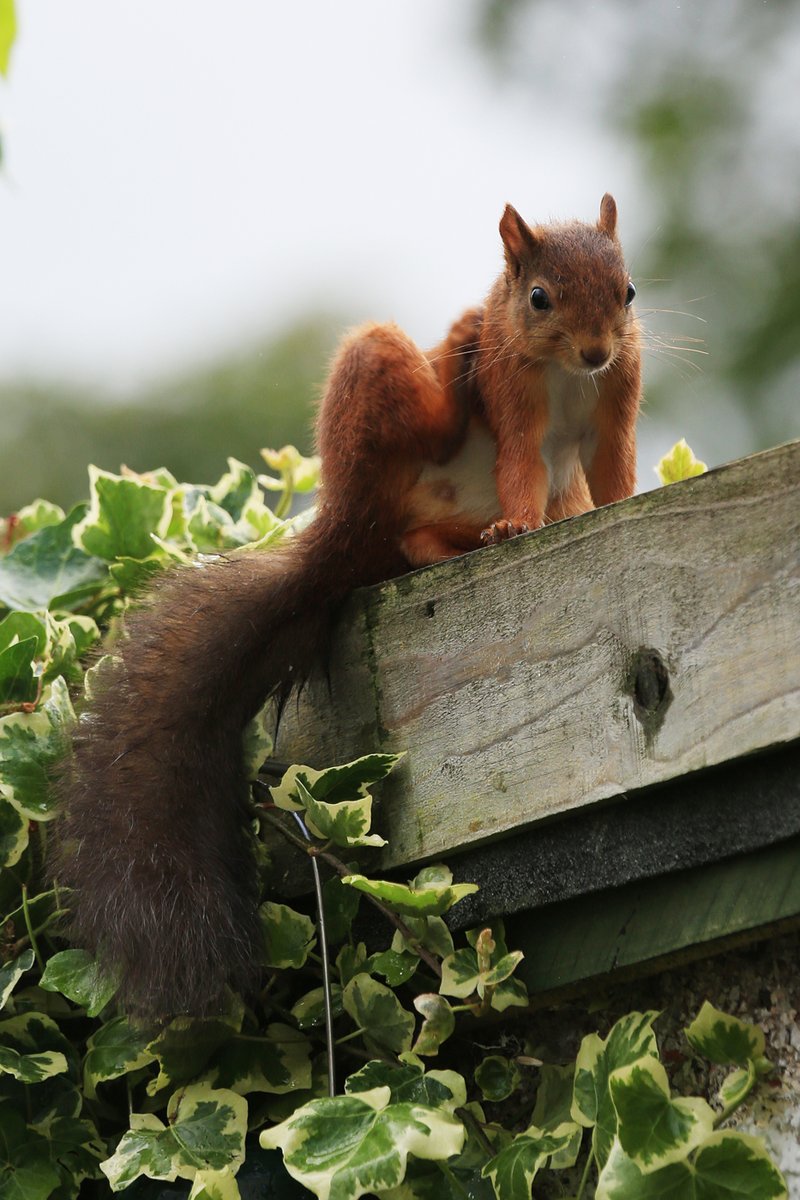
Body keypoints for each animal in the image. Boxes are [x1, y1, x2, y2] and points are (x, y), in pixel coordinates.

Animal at [55, 194, 641, 1019]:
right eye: (538, 298)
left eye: (629, 291)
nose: (594, 352)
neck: (566, 377)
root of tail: (341, 534)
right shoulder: (514, 401)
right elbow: (521, 463)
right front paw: (521, 525)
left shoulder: (618, 396)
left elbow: (613, 465)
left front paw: (617, 503)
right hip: (374, 386)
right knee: (428, 433)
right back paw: (454, 361)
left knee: (415, 536)